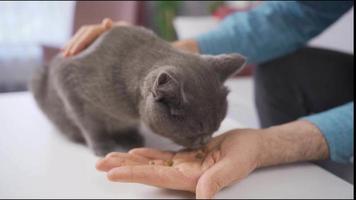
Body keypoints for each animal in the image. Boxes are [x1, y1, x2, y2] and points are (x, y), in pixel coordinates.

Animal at [29, 25, 245, 156]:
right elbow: (91, 125)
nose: (206, 141)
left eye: (217, 127)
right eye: (196, 131)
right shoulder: (69, 84)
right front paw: (103, 147)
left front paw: (132, 138)